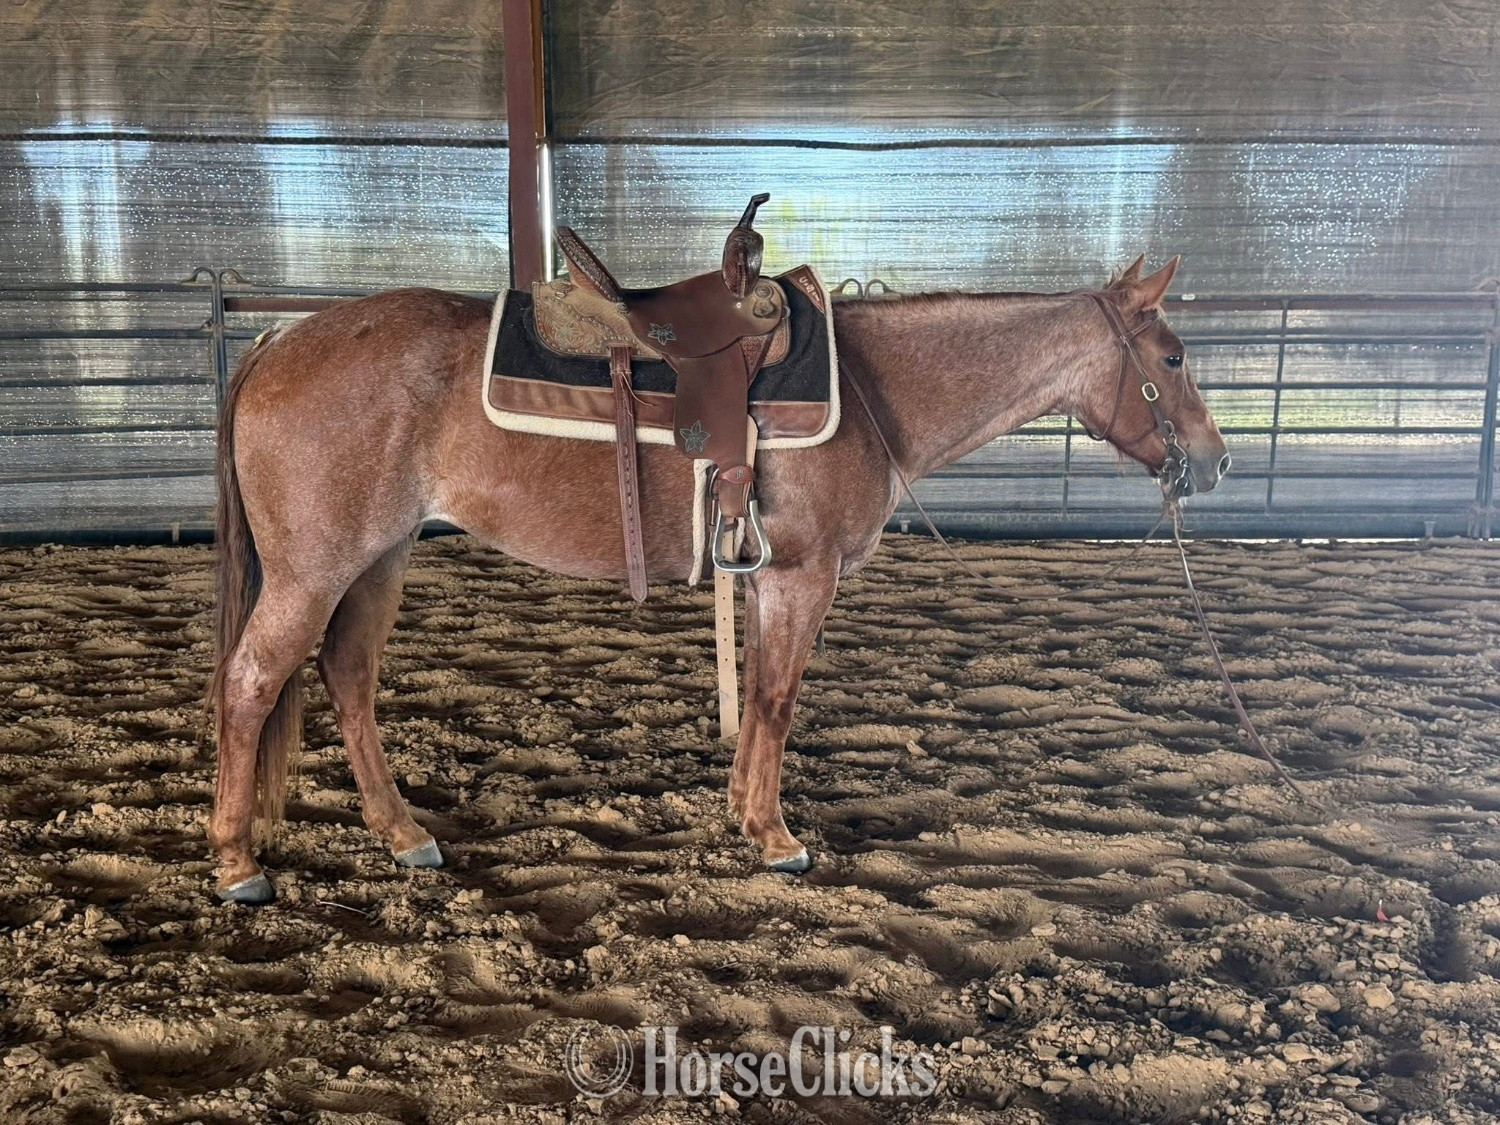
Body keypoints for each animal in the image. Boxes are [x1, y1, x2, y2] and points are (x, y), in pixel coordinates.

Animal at [205, 255, 1228, 903]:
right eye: (1174, 358)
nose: (1216, 463)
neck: (871, 387)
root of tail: (274, 343)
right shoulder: (805, 575)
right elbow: (777, 697)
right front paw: (777, 839)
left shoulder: (768, 576)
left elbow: (764, 696)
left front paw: (743, 814)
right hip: (313, 570)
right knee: (251, 683)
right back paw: (236, 862)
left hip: (379, 558)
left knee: (348, 676)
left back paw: (402, 831)